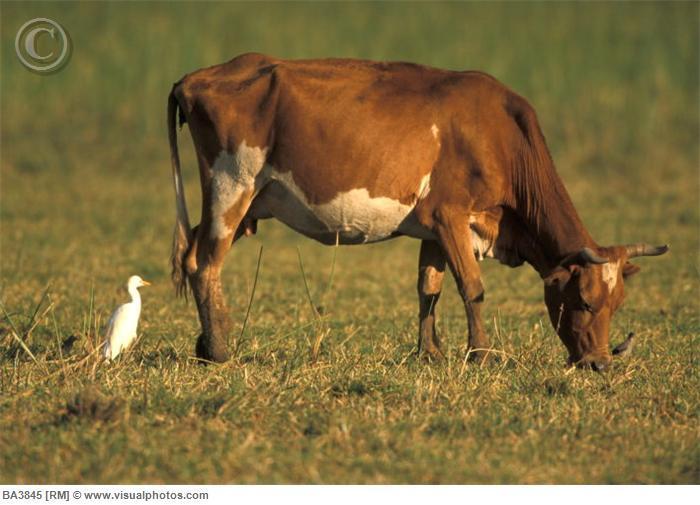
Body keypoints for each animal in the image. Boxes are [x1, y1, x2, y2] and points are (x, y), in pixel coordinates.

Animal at [167, 54, 664, 370]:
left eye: (618, 303)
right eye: (585, 301)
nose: (600, 364)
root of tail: (198, 76)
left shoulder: (434, 227)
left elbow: (430, 288)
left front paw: (430, 354)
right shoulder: (451, 215)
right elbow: (473, 288)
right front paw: (481, 356)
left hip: (245, 200)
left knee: (191, 253)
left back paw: (203, 346)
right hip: (231, 184)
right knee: (205, 262)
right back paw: (219, 351)